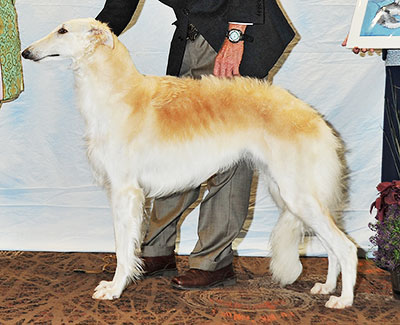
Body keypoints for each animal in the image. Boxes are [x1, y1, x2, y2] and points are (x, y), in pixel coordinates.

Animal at [22, 17, 356, 306]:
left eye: (62, 31)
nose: (26, 52)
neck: (119, 94)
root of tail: (315, 119)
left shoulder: (125, 191)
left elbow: (121, 248)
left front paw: (115, 289)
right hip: (292, 195)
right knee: (331, 247)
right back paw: (327, 287)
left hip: (297, 195)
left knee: (347, 247)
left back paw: (344, 300)